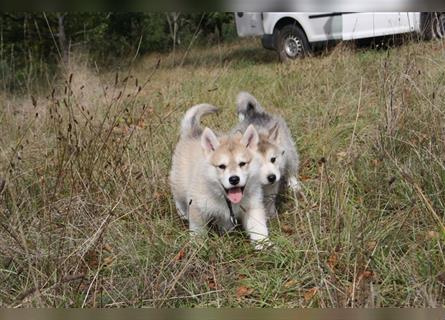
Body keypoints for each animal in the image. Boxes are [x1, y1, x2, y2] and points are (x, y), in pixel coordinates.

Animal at [169, 104, 268, 249]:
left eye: (242, 164)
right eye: (222, 166)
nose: (234, 179)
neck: (228, 201)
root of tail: (193, 132)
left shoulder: (253, 207)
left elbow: (259, 229)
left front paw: (266, 247)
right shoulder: (198, 208)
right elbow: (198, 231)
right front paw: (198, 247)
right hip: (179, 182)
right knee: (178, 197)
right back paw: (183, 212)